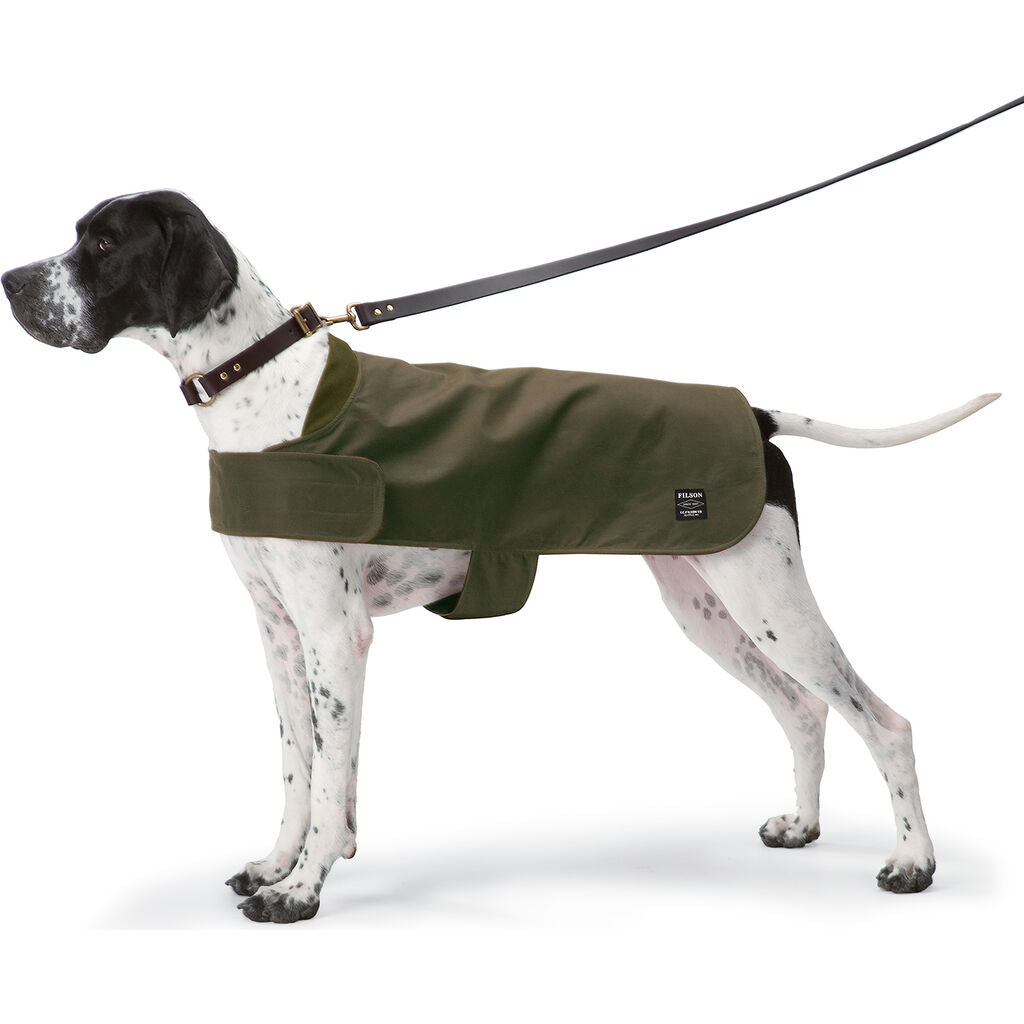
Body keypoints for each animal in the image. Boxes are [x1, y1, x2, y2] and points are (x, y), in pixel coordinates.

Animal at [3, 190, 998, 923]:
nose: (11, 280)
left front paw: (303, 890)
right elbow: (300, 770)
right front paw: (279, 864)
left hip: (768, 599)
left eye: (102, 244)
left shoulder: (335, 635)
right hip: (708, 602)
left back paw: (913, 861)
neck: (260, 384)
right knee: (802, 711)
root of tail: (752, 414)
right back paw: (804, 827)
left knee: (884, 722)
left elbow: (328, 779)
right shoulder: (281, 634)